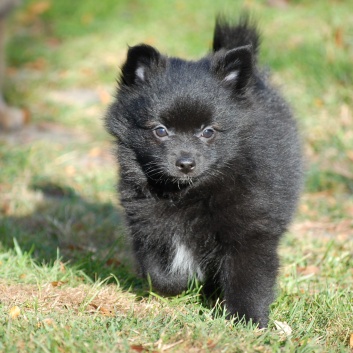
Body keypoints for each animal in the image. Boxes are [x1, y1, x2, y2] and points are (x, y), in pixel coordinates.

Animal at [104, 14, 300, 328]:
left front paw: (248, 321)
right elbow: (160, 273)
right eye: (160, 130)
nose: (185, 163)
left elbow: (250, 278)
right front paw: (179, 284)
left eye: (208, 132)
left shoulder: (251, 228)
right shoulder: (147, 223)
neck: (189, 192)